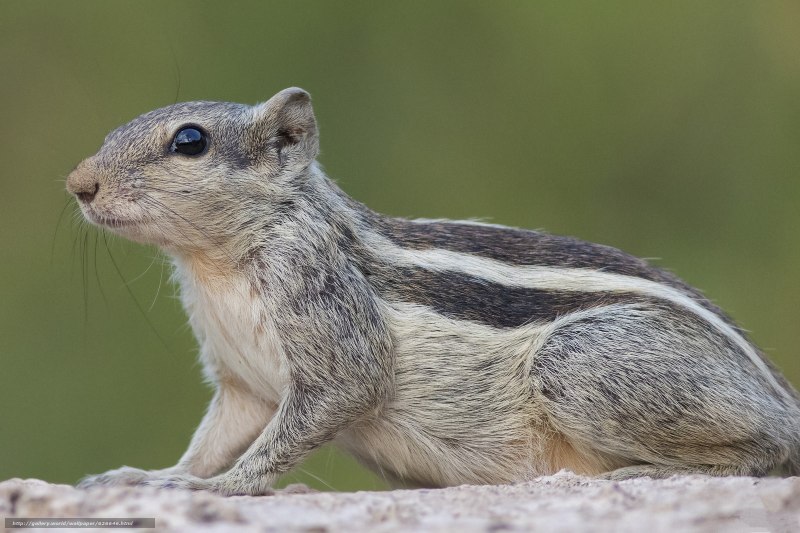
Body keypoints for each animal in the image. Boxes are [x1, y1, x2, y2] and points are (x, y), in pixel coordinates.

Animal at [67, 88, 800, 494]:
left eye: (189, 141)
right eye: (110, 132)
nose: (78, 183)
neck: (212, 266)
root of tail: (784, 400)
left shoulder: (330, 324)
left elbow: (312, 412)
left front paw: (230, 487)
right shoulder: (242, 384)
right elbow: (212, 440)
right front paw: (152, 477)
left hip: (580, 359)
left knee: (762, 453)